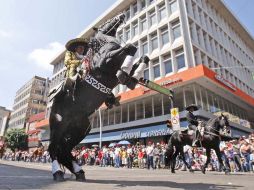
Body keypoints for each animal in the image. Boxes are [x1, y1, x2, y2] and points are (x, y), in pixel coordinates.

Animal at [47, 13, 143, 181]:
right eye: (107, 21)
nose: (122, 15)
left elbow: (137, 57)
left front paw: (132, 76)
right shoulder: (107, 61)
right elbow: (129, 47)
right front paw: (125, 72)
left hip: (80, 129)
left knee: (64, 149)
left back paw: (79, 171)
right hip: (58, 125)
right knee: (53, 148)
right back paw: (57, 172)